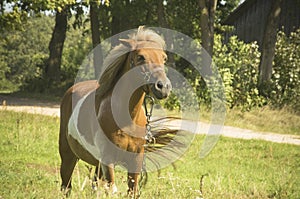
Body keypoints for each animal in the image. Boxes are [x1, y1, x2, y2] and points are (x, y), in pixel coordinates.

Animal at [58, 26, 172, 197]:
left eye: (164, 59)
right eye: (140, 57)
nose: (163, 87)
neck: (127, 119)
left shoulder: (135, 160)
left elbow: (132, 190)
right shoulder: (108, 160)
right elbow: (111, 189)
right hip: (68, 156)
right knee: (66, 186)